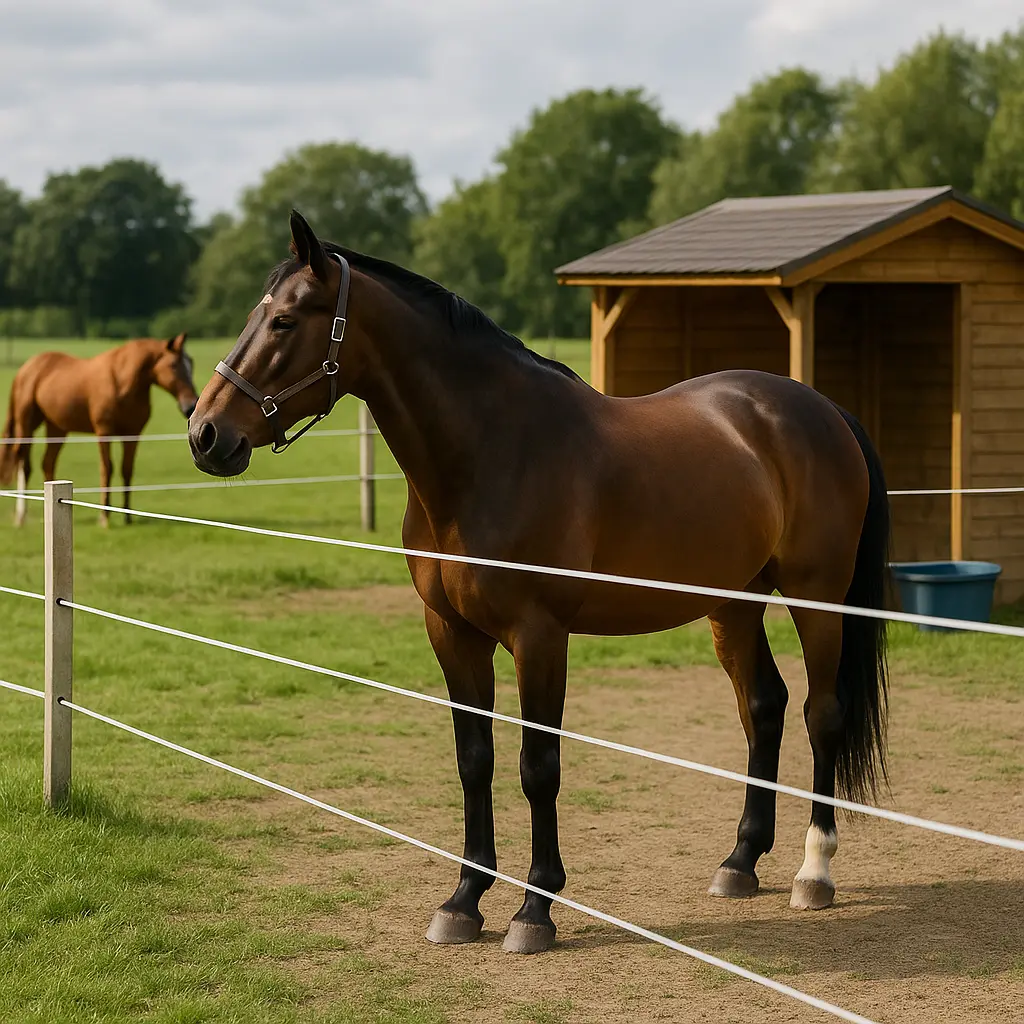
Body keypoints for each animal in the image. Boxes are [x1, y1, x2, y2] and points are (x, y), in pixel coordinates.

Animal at [0, 334, 198, 526]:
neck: (122, 381)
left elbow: (127, 470)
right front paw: (104, 517)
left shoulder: (132, 435)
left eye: (191, 363)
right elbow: (107, 468)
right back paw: (21, 516)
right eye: (173, 365)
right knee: (23, 463)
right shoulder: (104, 433)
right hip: (27, 425)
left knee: (48, 463)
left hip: (56, 428)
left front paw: (127, 516)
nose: (191, 406)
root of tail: (26, 368)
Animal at [188, 211, 890, 954]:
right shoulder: (452, 633)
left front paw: (535, 908)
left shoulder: (539, 636)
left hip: (818, 598)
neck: (491, 453)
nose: (205, 434)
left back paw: (814, 873)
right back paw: (741, 860)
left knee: (821, 712)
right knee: (764, 706)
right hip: (733, 604)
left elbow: (538, 765)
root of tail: (822, 410)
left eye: (285, 321)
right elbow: (475, 758)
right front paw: (463, 900)